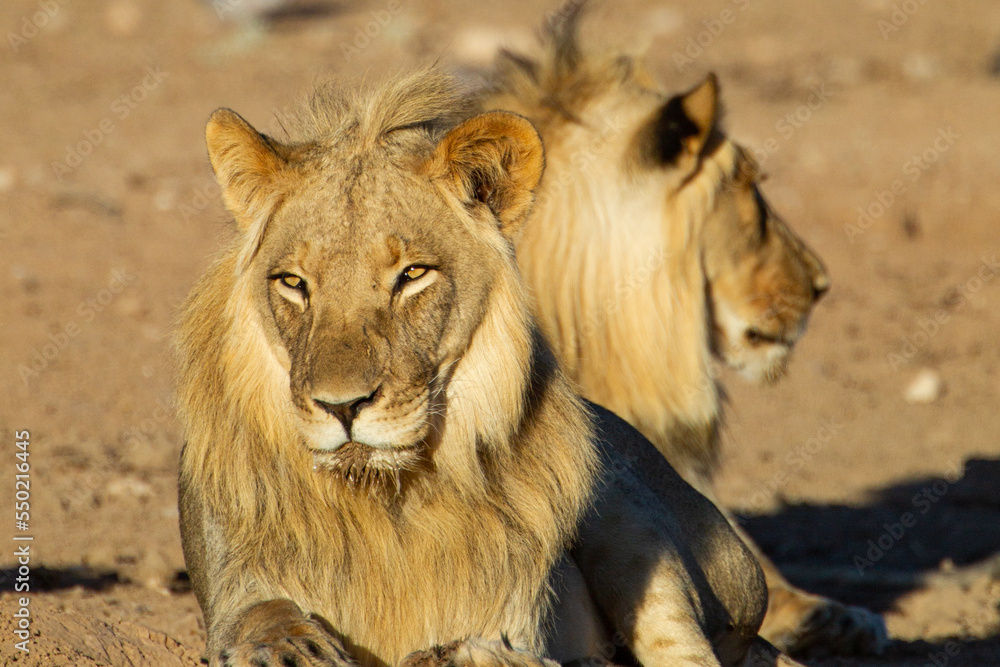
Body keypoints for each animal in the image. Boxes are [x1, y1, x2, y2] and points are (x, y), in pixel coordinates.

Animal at [176, 70, 804, 667]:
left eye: (412, 274)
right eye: (293, 282)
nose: (342, 406)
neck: (385, 501)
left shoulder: (520, 611)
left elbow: (524, 650)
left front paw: (458, 652)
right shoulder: (233, 579)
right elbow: (261, 611)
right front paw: (288, 645)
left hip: (632, 517)